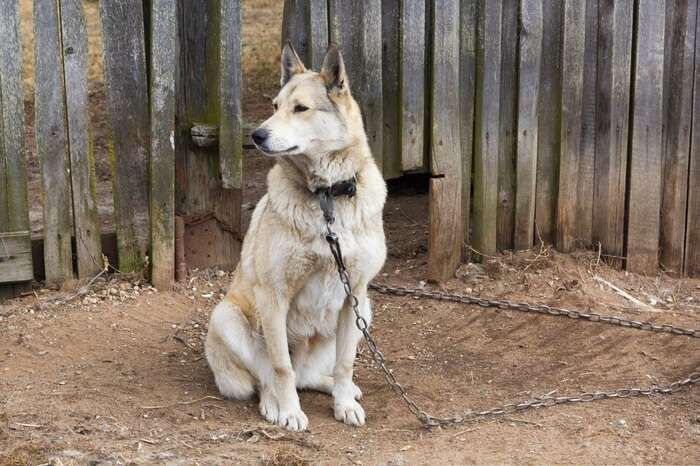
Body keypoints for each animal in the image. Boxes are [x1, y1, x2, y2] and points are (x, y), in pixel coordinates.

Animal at [202, 41, 388, 432]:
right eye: (274, 106)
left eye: (300, 108)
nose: (257, 135)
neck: (326, 195)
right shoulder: (273, 297)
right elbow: (280, 368)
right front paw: (289, 411)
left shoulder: (354, 296)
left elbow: (345, 364)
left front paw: (344, 405)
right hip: (227, 317)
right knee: (269, 376)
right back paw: (273, 404)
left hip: (366, 309)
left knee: (311, 374)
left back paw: (338, 389)